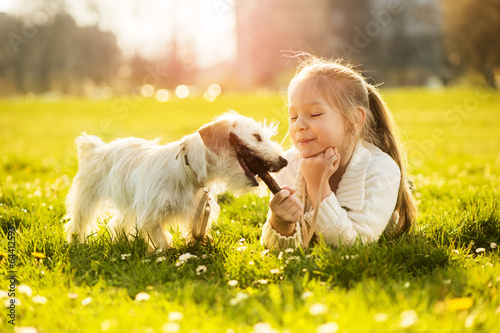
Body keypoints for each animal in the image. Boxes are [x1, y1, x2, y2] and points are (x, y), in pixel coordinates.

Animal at [64, 111, 288, 249]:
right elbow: (160, 238)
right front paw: (165, 252)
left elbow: (194, 232)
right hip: (86, 198)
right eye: (257, 137)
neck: (187, 169)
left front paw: (200, 245)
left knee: (118, 223)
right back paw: (76, 243)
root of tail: (97, 147)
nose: (284, 160)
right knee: (78, 222)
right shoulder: (151, 213)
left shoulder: (196, 211)